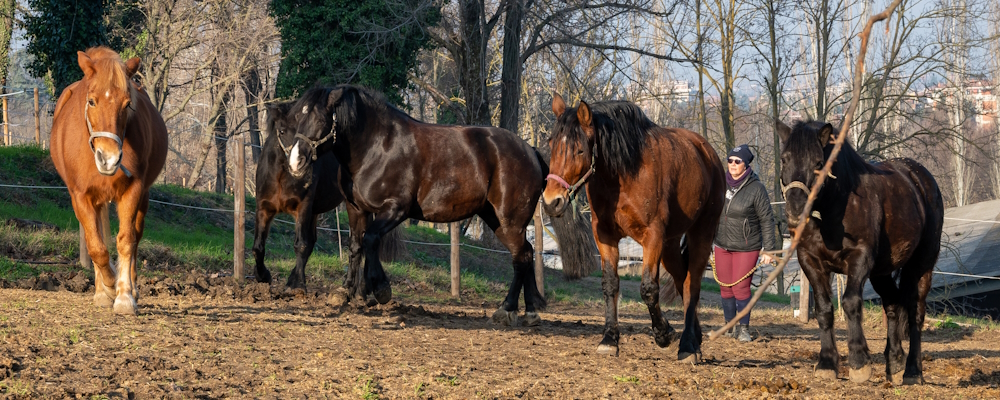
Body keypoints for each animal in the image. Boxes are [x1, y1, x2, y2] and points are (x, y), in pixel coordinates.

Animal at [49, 47, 167, 316]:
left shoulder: (133, 190)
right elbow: (96, 246)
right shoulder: (80, 196)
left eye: (128, 104)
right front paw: (109, 287)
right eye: (91, 101)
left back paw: (130, 287)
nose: (109, 159)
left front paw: (124, 296)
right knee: (98, 238)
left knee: (135, 237)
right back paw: (102, 290)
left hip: (143, 197)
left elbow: (126, 241)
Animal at [286, 85, 552, 324]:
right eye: (298, 117)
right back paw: (529, 313)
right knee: (527, 253)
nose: (295, 162)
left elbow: (370, 240)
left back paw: (506, 309)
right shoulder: (357, 209)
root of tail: (530, 151)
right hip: (497, 220)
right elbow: (355, 247)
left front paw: (380, 289)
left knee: (520, 258)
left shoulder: (395, 209)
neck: (377, 147)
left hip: (509, 220)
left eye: (320, 119)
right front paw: (346, 291)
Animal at [544, 94, 724, 360]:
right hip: (670, 245)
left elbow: (648, 288)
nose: (551, 201)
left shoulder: (653, 237)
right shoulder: (605, 236)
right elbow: (610, 284)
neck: (622, 175)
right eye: (552, 145)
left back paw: (687, 344)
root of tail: (708, 153)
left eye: (580, 149)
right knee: (682, 281)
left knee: (692, 284)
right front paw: (609, 339)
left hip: (701, 233)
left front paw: (663, 333)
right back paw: (695, 339)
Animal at [776, 119, 940, 384]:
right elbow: (823, 308)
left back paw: (913, 371)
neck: (833, 208)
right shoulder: (810, 261)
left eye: (819, 163)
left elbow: (851, 303)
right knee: (893, 305)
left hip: (922, 265)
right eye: (784, 159)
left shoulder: (860, 259)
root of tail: (921, 179)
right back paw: (894, 362)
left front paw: (859, 361)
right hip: (882, 271)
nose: (796, 208)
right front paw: (826, 363)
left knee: (916, 312)